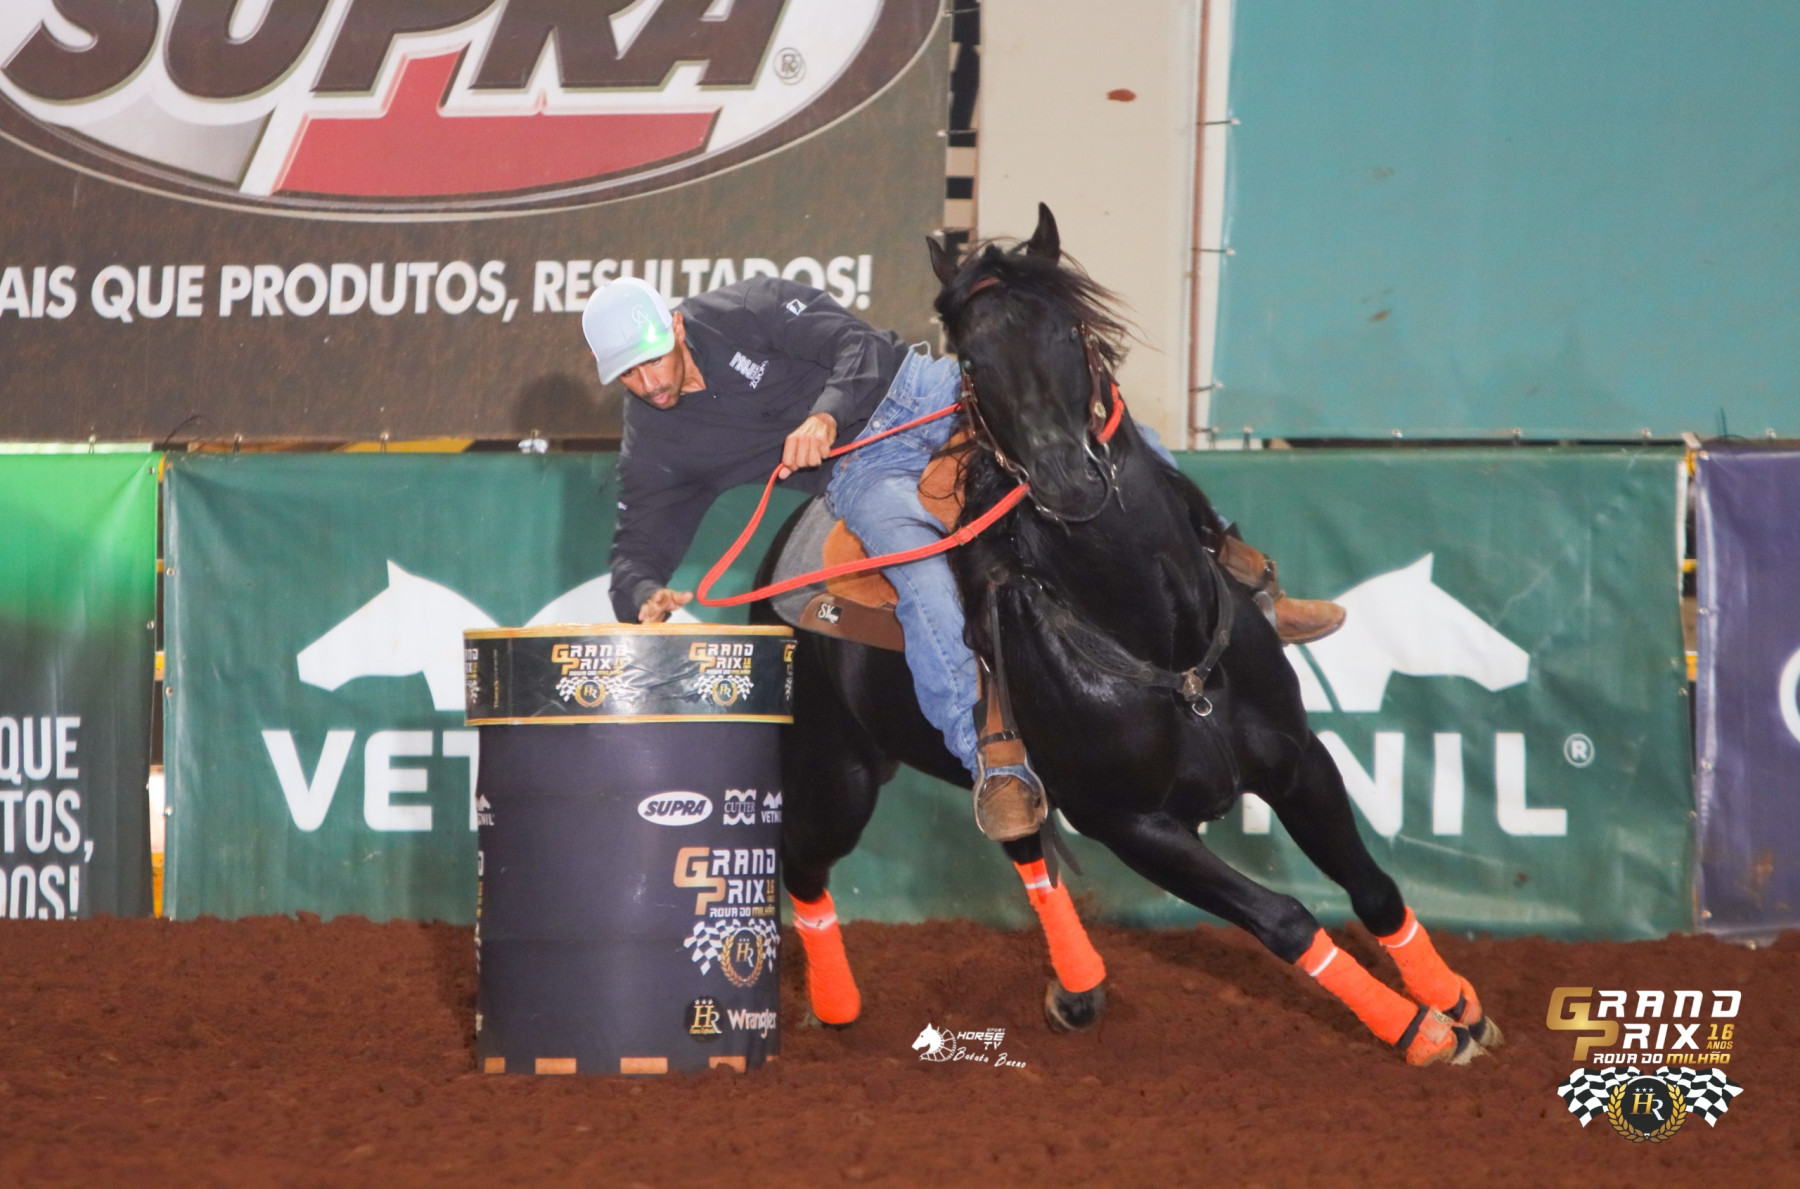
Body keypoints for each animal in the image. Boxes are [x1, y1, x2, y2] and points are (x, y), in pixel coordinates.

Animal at [759, 205, 1504, 1064]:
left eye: (1068, 330)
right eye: (973, 359)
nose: (1063, 480)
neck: (1163, 648)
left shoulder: (1300, 761)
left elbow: (1374, 888)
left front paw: (1459, 1004)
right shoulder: (1131, 822)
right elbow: (1285, 918)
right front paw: (1415, 1026)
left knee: (1019, 843)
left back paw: (1078, 985)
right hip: (838, 770)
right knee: (801, 860)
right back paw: (833, 1002)